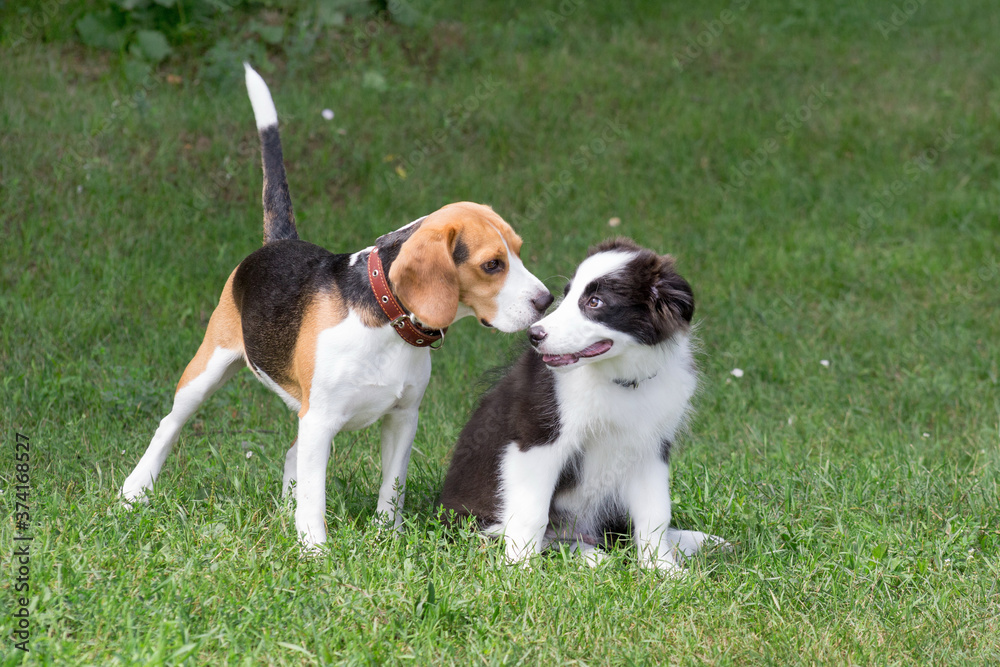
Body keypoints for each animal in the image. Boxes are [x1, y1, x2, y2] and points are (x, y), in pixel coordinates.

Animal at [121, 65, 556, 552]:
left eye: (518, 250)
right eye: (492, 265)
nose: (546, 300)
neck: (385, 322)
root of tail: (280, 242)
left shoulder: (402, 419)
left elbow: (392, 487)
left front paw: (386, 536)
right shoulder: (321, 419)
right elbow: (315, 494)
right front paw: (314, 548)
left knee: (291, 456)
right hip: (209, 368)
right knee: (169, 425)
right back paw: (135, 491)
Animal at [442, 237, 724, 572]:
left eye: (595, 302)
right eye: (566, 295)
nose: (534, 335)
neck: (618, 380)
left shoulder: (650, 448)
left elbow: (655, 514)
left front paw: (662, 569)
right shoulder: (537, 440)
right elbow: (531, 514)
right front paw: (519, 569)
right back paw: (588, 555)